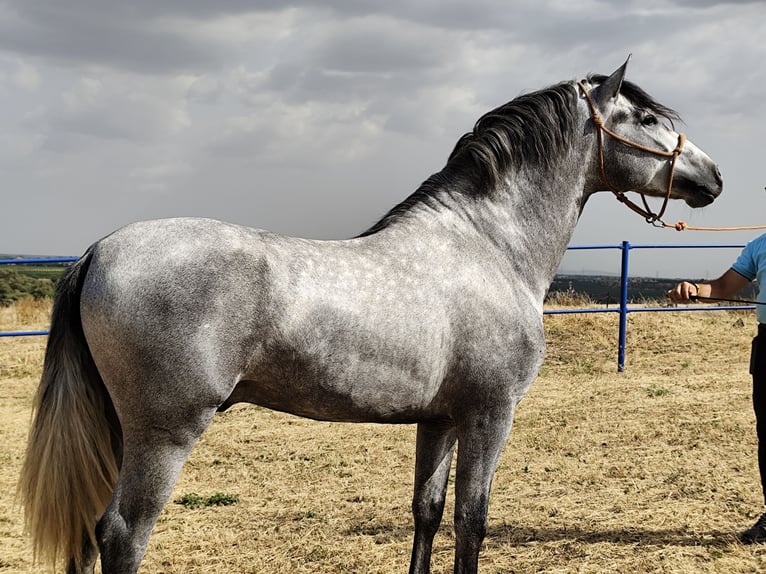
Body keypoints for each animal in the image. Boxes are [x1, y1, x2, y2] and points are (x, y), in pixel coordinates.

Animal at [19, 59, 728, 574]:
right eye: (645, 116)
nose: (714, 176)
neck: (488, 245)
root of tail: (100, 250)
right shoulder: (490, 413)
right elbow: (473, 522)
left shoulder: (440, 419)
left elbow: (428, 512)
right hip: (164, 433)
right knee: (121, 534)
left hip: (120, 429)